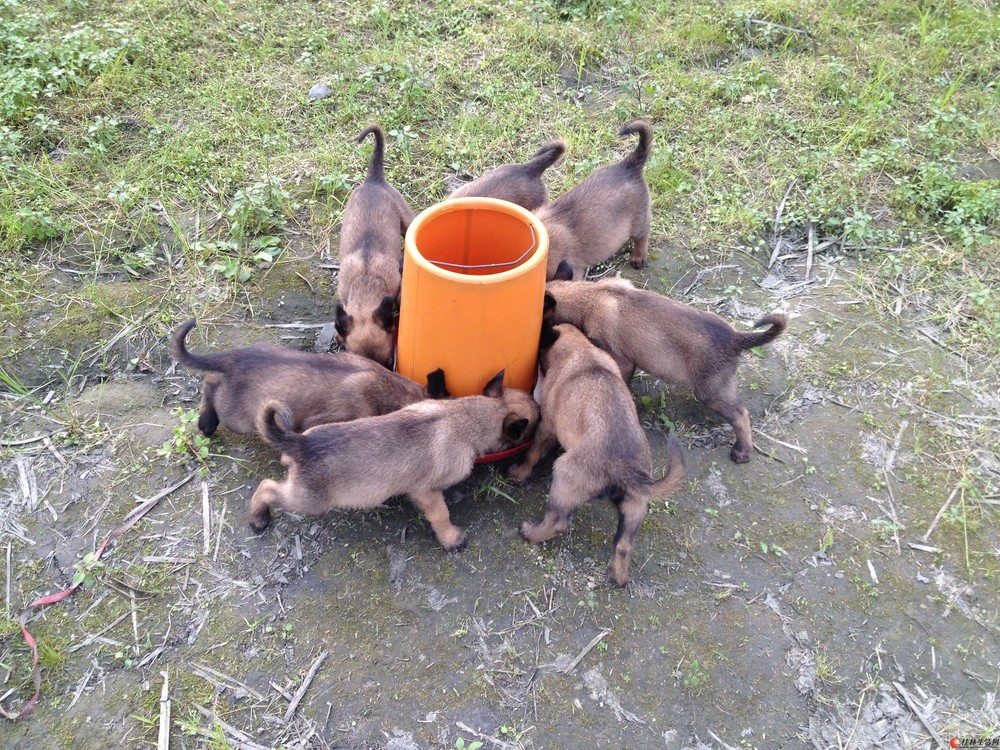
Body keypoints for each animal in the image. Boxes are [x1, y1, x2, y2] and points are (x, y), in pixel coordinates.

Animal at [169, 318, 446, 438]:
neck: (386, 386)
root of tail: (237, 356)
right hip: (238, 417)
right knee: (211, 385)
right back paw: (206, 424)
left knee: (211, 380)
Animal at [508, 326, 688, 592]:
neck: (582, 349)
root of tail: (622, 465)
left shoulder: (547, 426)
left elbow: (532, 454)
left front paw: (519, 472)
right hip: (634, 507)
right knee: (624, 545)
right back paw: (617, 577)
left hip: (565, 475)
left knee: (557, 521)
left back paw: (530, 532)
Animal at [544, 264, 784, 464]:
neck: (590, 296)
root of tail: (735, 338)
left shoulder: (621, 358)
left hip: (710, 391)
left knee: (741, 415)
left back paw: (742, 451)